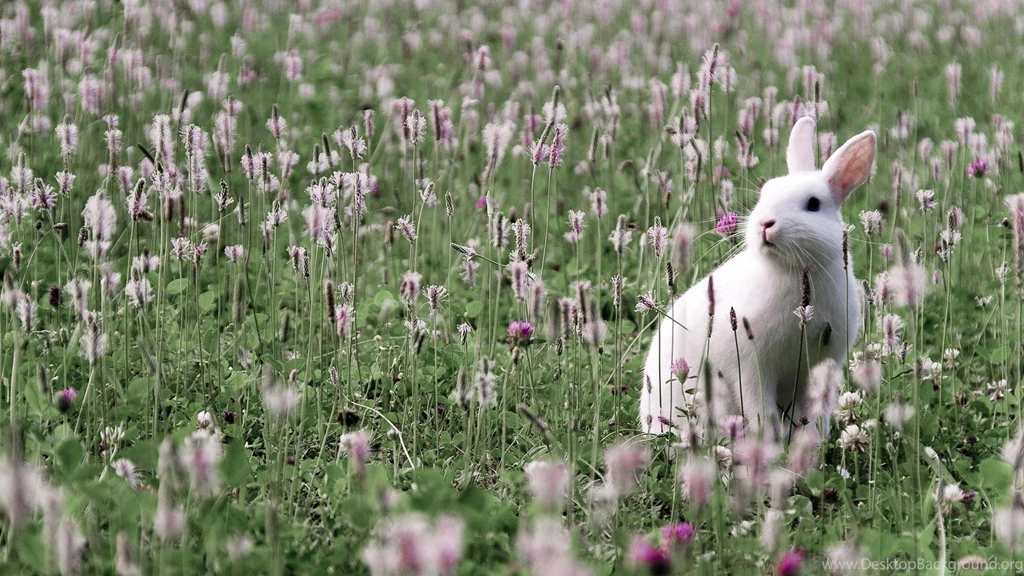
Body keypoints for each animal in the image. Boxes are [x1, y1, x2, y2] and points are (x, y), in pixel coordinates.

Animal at [640, 116, 875, 445]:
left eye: (813, 204)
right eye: (765, 194)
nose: (765, 223)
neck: (791, 272)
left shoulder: (823, 364)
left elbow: (816, 414)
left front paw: (810, 446)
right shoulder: (750, 367)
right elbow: (761, 411)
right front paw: (771, 447)